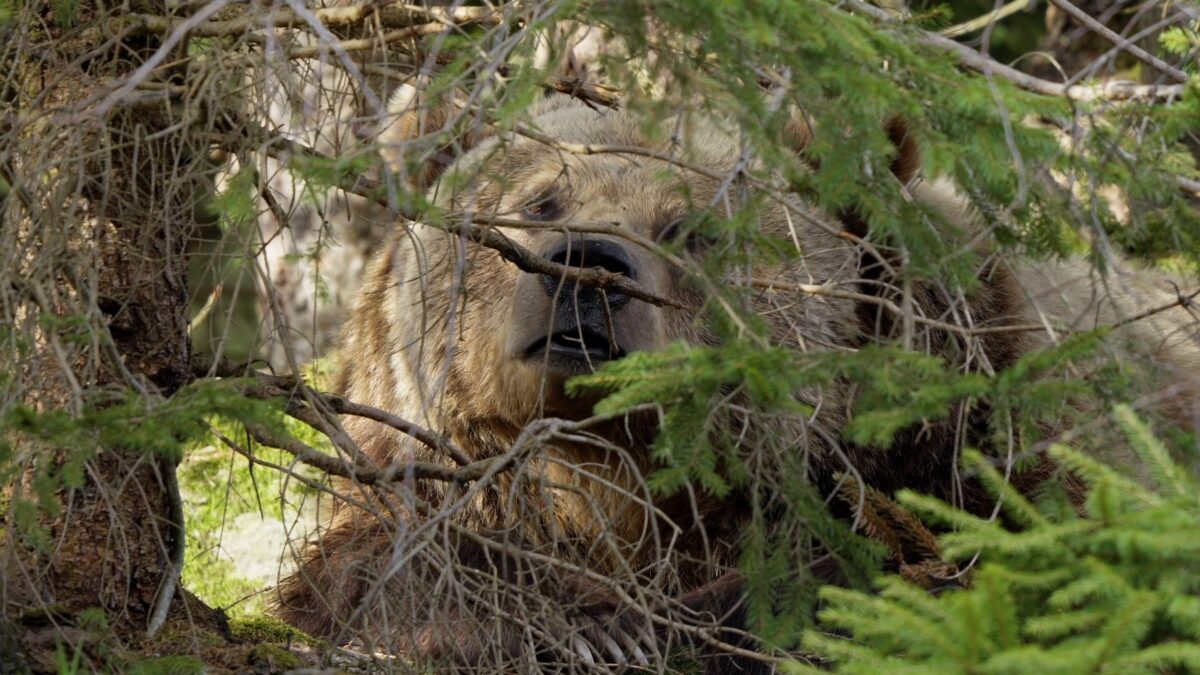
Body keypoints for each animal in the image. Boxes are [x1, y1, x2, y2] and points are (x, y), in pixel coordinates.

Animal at [274, 89, 1200, 673]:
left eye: (691, 226)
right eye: (541, 198)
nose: (587, 269)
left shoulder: (980, 407)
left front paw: (663, 620)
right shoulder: (405, 448)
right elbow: (370, 564)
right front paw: (586, 622)